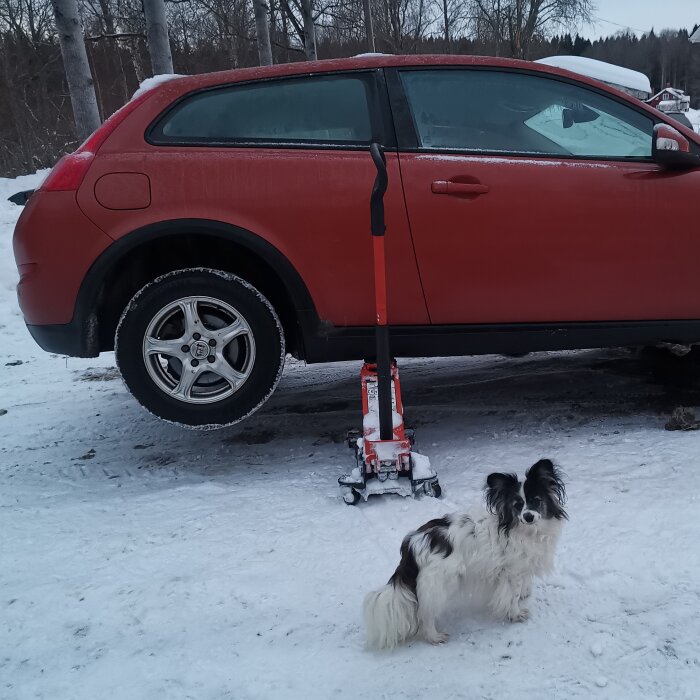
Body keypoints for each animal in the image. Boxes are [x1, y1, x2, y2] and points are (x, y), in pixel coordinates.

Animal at [364, 460, 568, 652]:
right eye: (517, 506)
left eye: (536, 500)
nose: (528, 516)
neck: (526, 531)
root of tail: (413, 542)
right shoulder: (511, 572)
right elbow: (512, 594)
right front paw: (516, 613)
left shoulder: (524, 564)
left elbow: (523, 585)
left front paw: (524, 594)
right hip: (439, 584)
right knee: (424, 613)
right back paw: (434, 637)